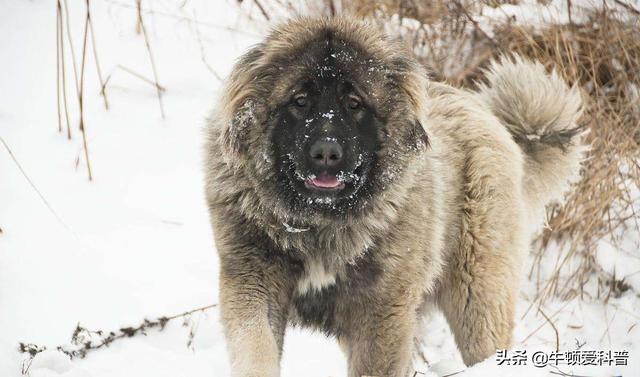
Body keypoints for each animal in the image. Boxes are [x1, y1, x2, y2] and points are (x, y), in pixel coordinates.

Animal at [205, 16, 584, 374]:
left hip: (478, 297)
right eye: (300, 101)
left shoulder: (382, 310)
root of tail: (488, 116)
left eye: (354, 103)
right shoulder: (253, 282)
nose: (326, 152)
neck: (320, 225)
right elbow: (256, 348)